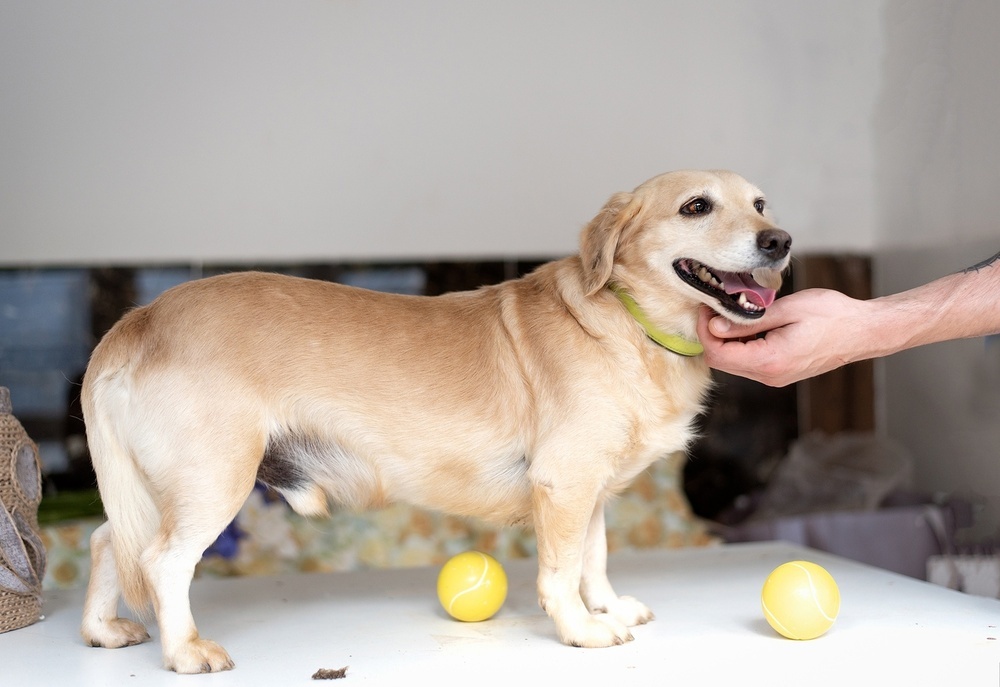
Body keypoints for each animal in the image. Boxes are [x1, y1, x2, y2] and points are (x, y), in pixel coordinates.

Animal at [80, 169, 788, 676]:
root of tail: (139, 321)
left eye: (761, 204)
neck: (632, 326)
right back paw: (184, 650)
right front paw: (582, 629)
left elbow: (595, 561)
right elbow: (561, 574)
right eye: (696, 207)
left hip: (158, 489)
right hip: (215, 481)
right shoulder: (564, 483)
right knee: (162, 561)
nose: (779, 241)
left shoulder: (589, 494)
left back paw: (101, 629)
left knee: (108, 541)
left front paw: (608, 606)